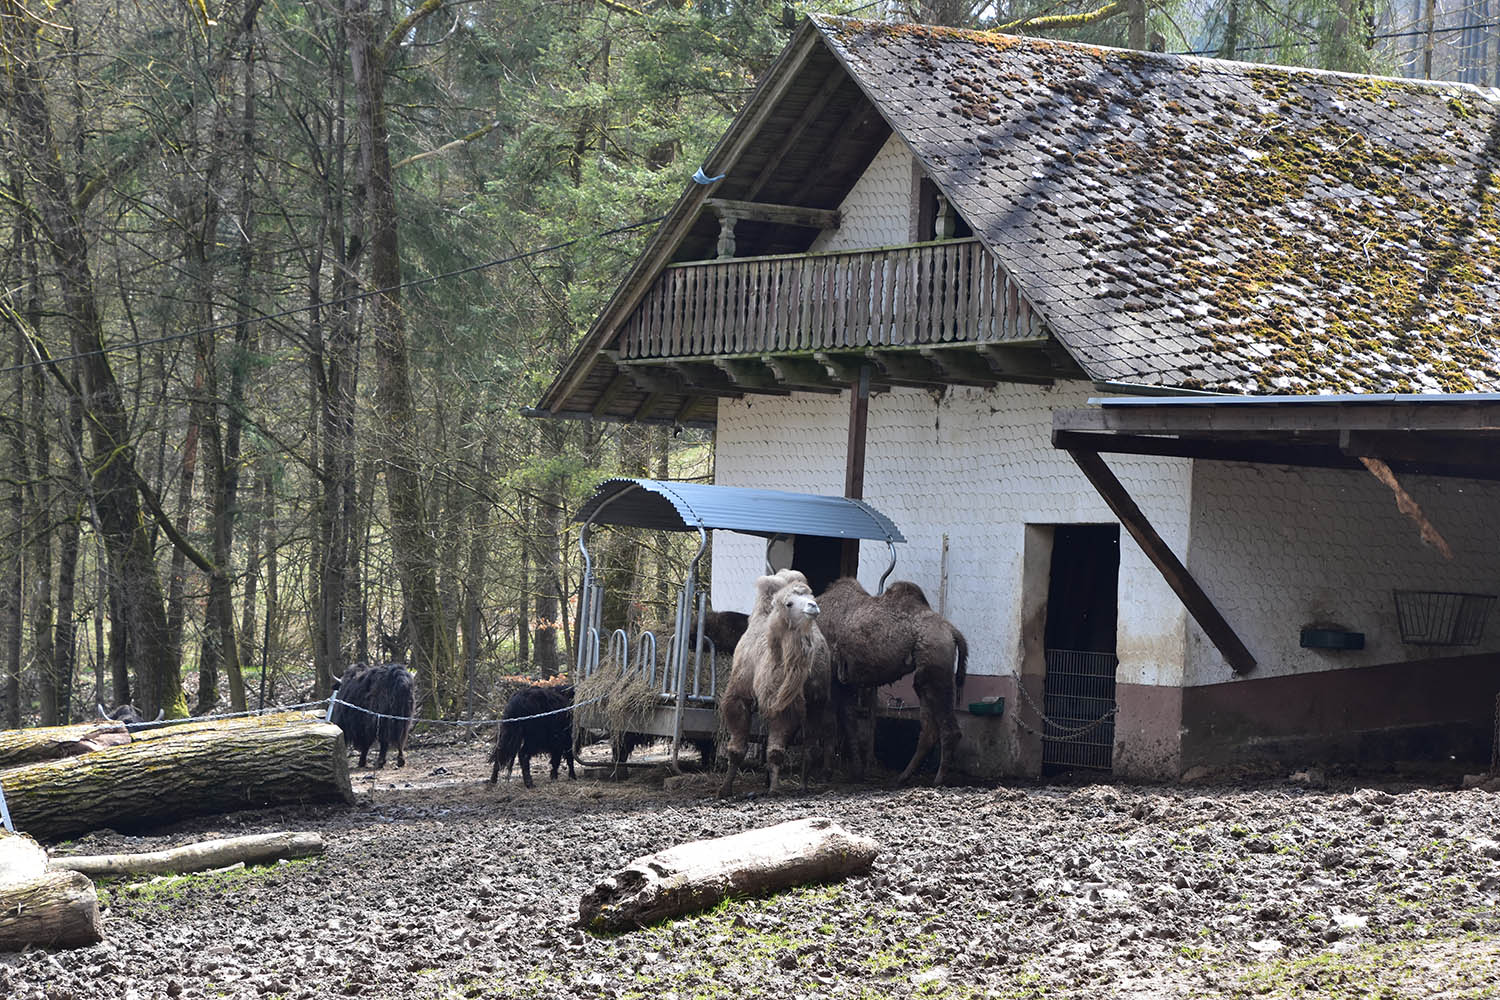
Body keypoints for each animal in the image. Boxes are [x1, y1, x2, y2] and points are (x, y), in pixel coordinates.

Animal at [717, 569, 832, 798]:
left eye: (812, 597)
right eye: (789, 603)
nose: (813, 607)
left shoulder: (812, 702)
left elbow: (790, 750)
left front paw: (782, 788)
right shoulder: (740, 696)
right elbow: (737, 750)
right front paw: (724, 789)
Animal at [815, 577, 968, 786]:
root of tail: (953, 632)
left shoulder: (832, 678)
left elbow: (830, 723)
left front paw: (826, 773)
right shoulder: (844, 681)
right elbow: (849, 722)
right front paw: (857, 773)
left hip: (935, 668)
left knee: (949, 729)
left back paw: (937, 779)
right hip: (925, 678)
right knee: (928, 730)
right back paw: (902, 776)